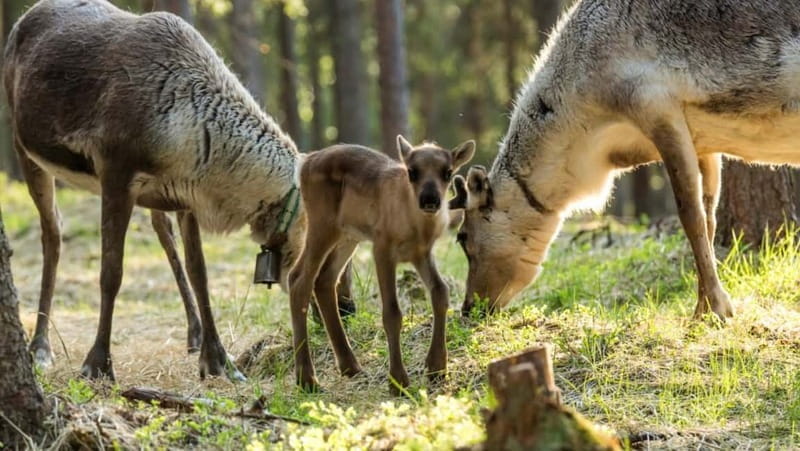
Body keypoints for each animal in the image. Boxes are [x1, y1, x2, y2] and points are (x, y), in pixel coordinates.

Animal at [2, 0, 359, 381]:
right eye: (335, 253)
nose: (349, 309)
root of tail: (25, 17)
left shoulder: (186, 194)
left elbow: (199, 272)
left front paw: (219, 360)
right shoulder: (115, 173)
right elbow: (111, 273)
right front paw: (97, 363)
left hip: (153, 195)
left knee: (161, 230)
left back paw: (195, 331)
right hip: (25, 148)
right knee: (52, 232)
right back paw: (40, 348)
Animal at [289, 136, 475, 393]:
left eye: (448, 172)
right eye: (412, 171)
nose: (429, 199)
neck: (415, 226)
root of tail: (304, 162)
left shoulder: (421, 253)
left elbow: (440, 292)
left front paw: (437, 368)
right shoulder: (382, 248)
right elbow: (392, 312)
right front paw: (398, 380)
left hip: (348, 235)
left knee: (325, 279)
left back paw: (350, 367)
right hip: (322, 224)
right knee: (299, 280)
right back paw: (307, 379)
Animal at [452, 0, 800, 322]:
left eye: (462, 237)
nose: (468, 308)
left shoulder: (656, 107)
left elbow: (691, 217)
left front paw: (715, 308)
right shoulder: (703, 141)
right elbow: (709, 217)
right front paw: (704, 304)